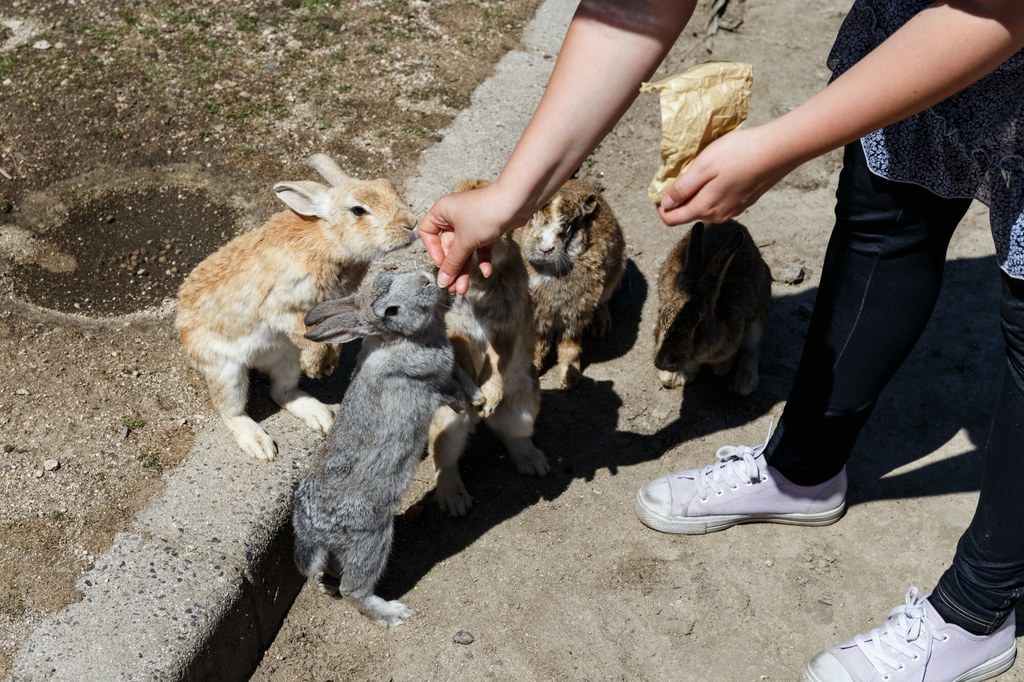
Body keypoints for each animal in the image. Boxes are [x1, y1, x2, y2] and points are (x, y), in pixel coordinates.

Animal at [175, 153, 415, 458]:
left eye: (388, 186)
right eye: (358, 210)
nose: (411, 223)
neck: (328, 239)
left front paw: (328, 365)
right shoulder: (281, 308)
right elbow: (304, 333)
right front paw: (316, 366)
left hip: (286, 358)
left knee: (281, 391)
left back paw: (322, 417)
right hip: (226, 371)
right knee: (232, 411)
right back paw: (261, 446)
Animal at [288, 268, 479, 622]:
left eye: (394, 274)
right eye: (391, 311)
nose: (426, 279)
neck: (399, 340)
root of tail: (313, 531)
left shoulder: (447, 370)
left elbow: (460, 372)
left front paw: (477, 396)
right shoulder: (432, 385)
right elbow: (451, 391)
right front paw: (467, 405)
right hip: (371, 540)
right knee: (354, 590)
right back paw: (394, 613)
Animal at [425, 178, 552, 512]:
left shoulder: (506, 329)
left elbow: (498, 359)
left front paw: (489, 397)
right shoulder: (457, 330)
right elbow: (464, 353)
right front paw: (479, 396)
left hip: (525, 400)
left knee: (513, 434)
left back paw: (534, 461)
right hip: (447, 421)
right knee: (445, 459)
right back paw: (455, 502)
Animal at [520, 178, 622, 387]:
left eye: (568, 226)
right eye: (531, 218)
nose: (545, 249)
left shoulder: (575, 316)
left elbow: (570, 348)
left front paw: (570, 380)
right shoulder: (538, 317)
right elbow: (538, 345)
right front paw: (534, 368)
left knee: (604, 303)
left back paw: (600, 327)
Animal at [651, 220, 770, 395]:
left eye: (699, 329)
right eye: (660, 319)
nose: (663, 362)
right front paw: (676, 377)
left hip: (759, 314)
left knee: (753, 349)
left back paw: (744, 383)